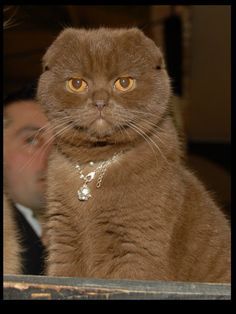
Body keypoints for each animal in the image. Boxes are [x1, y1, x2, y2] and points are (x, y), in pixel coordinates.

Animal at [37, 27, 230, 282]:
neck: (94, 164)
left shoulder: (139, 246)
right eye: (76, 83)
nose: (100, 102)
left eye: (124, 82)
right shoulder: (64, 241)